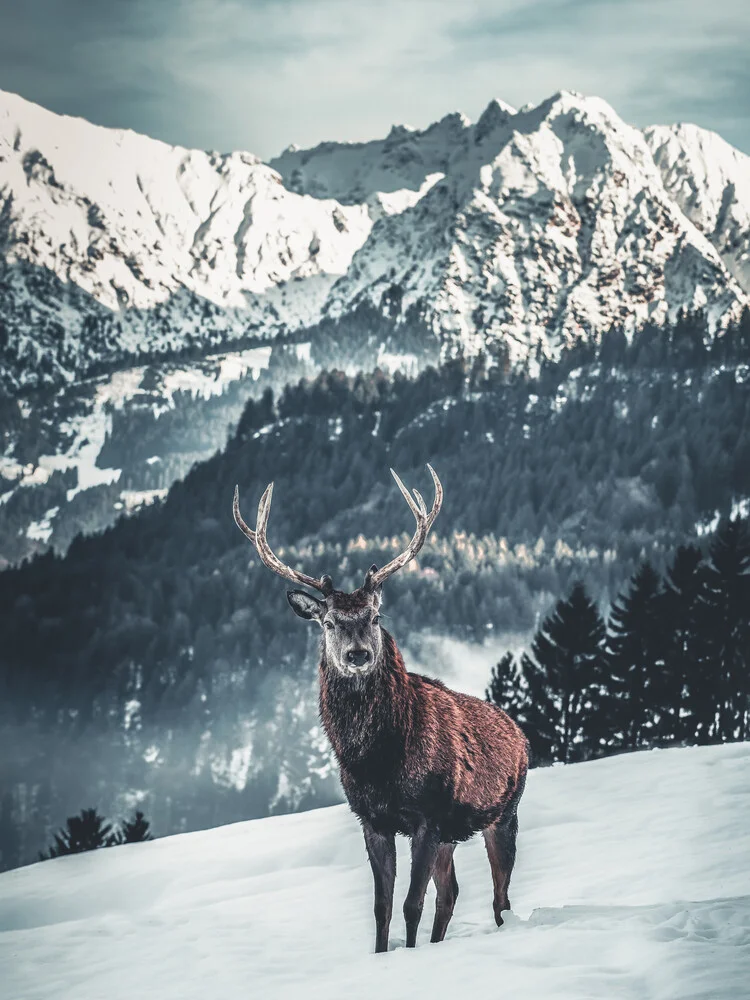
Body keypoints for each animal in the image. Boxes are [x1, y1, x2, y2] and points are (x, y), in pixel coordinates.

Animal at [232, 466, 532, 952]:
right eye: (328, 622)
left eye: (375, 616)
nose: (358, 654)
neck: (376, 761)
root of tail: (520, 735)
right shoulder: (372, 821)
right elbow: (382, 907)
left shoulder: (428, 816)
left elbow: (411, 904)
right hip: (454, 833)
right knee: (451, 893)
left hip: (505, 812)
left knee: (499, 894)